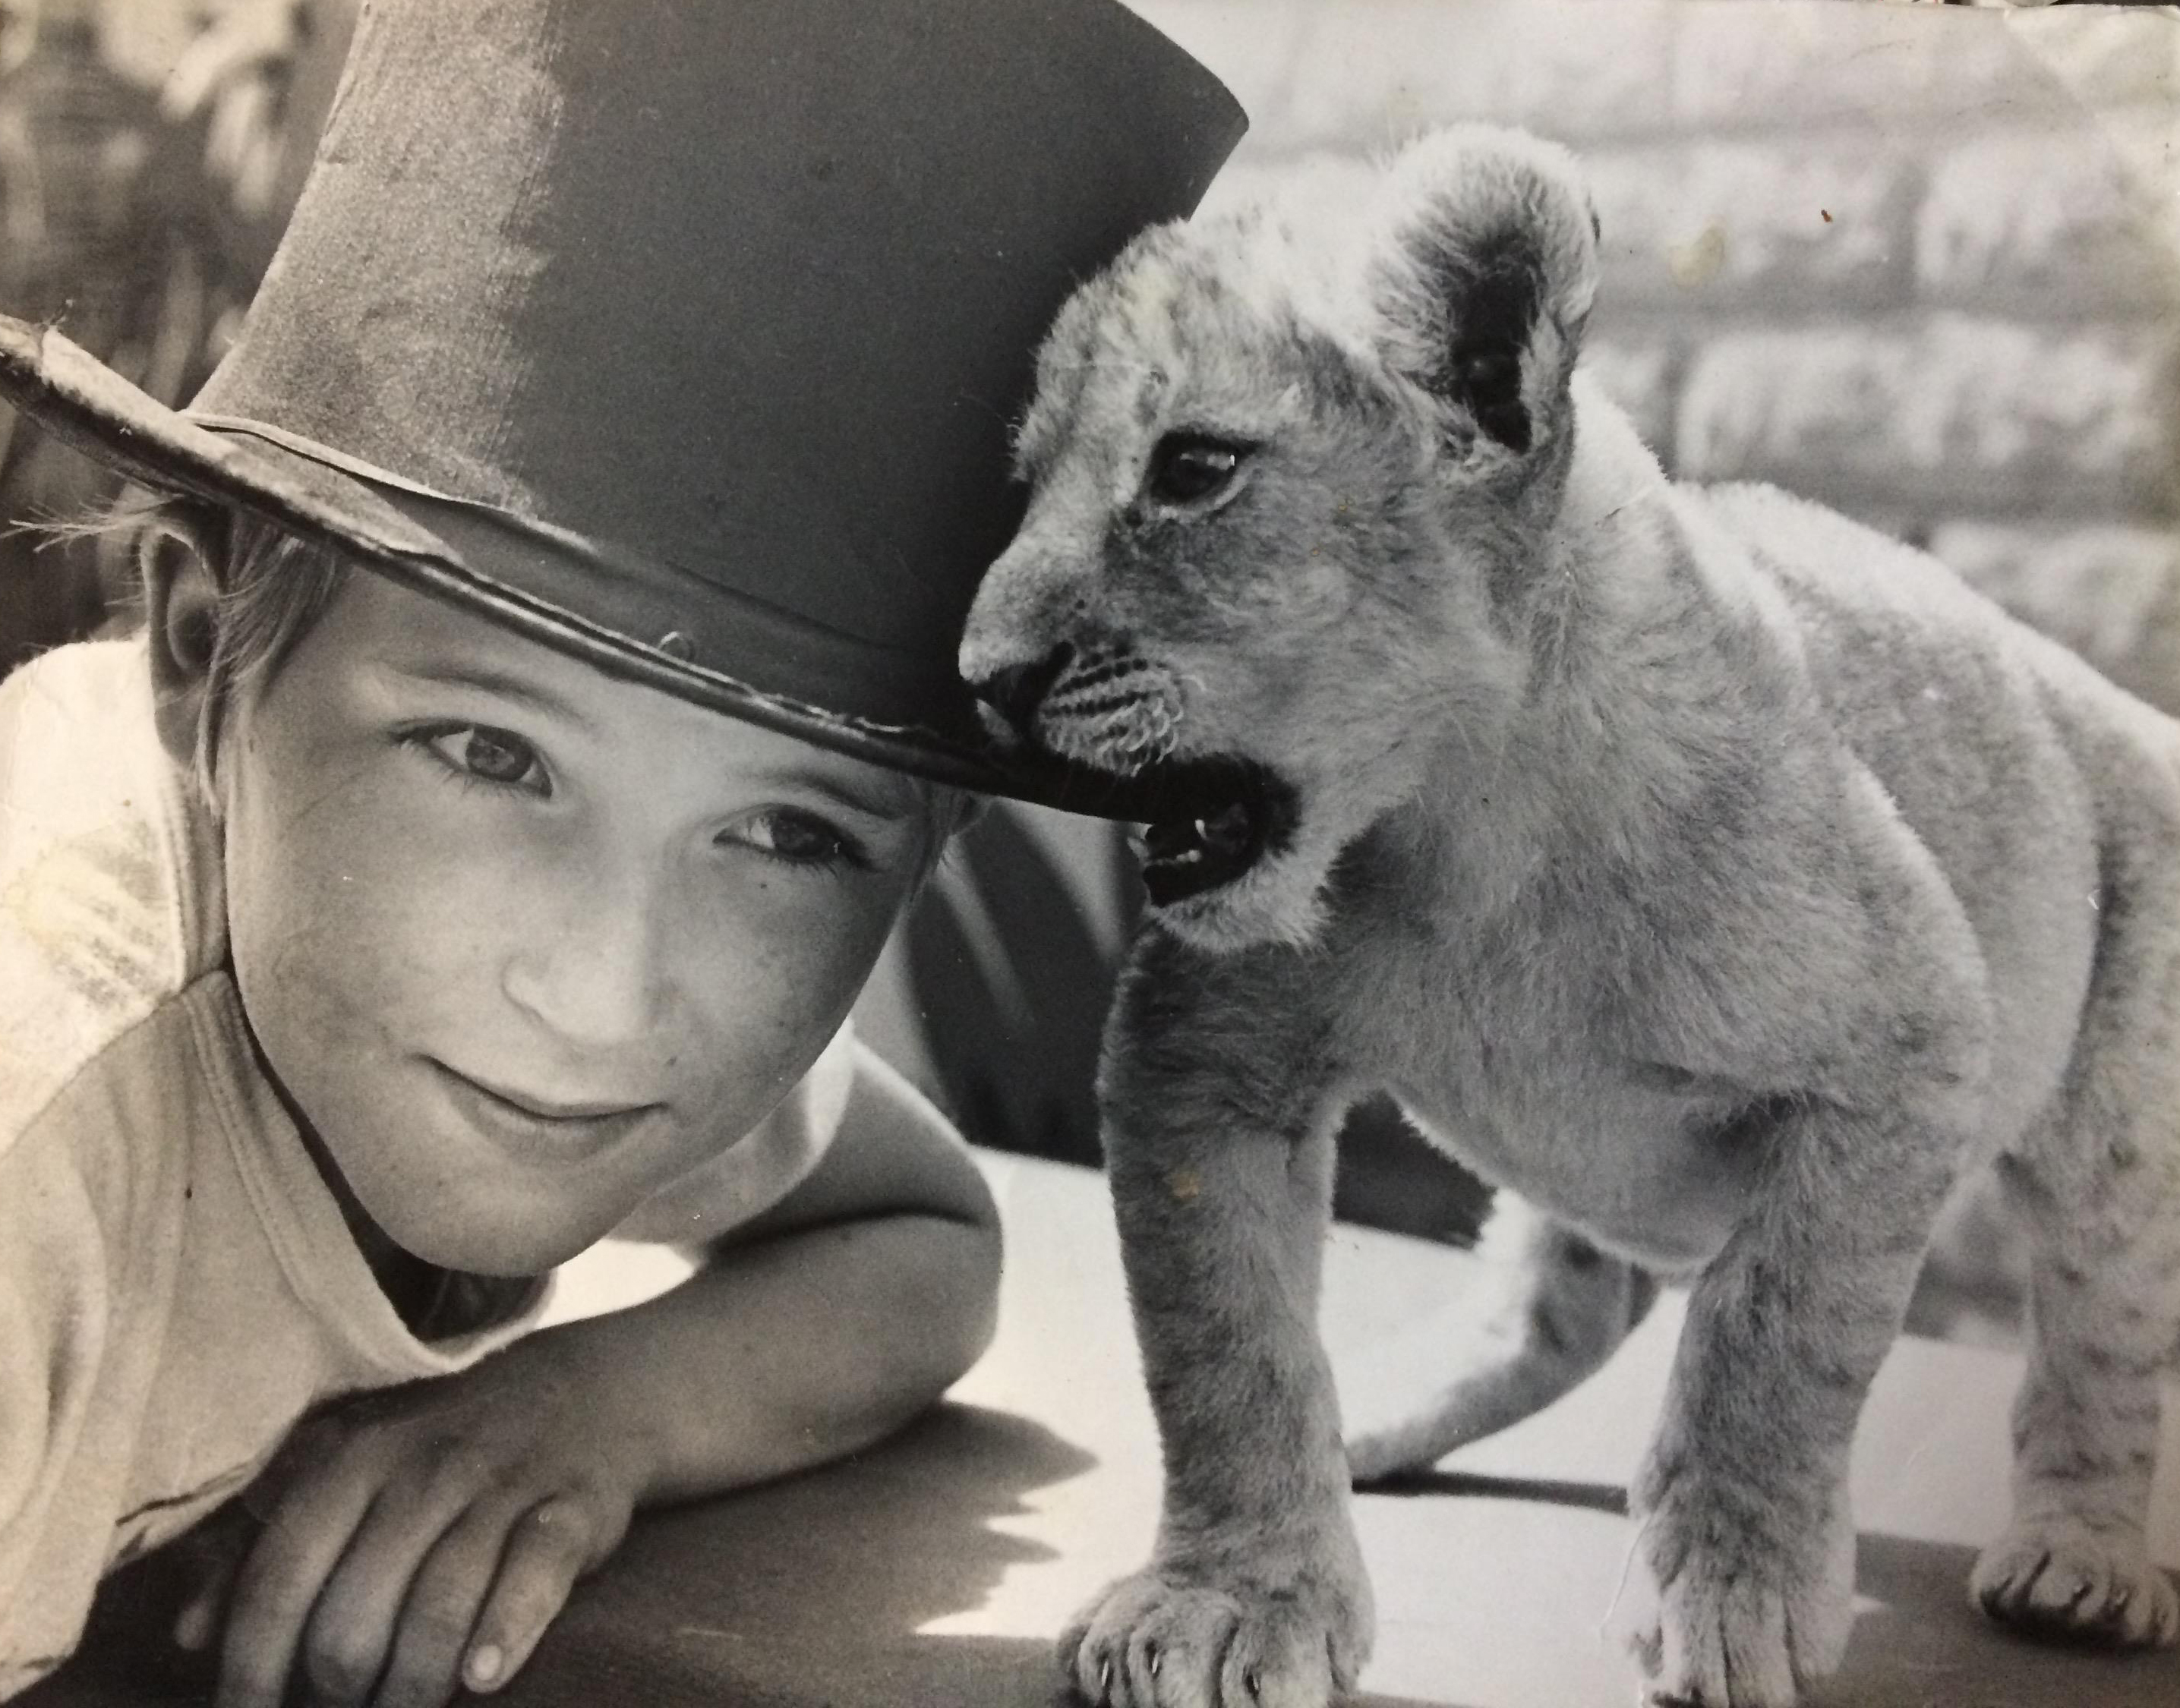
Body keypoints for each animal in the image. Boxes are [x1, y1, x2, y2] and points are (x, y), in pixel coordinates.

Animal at [956, 125, 2180, 1708]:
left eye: (1194, 469)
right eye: (1028, 481)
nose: (981, 678)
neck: (1461, 830)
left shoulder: (1908, 1042)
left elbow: (1773, 1346)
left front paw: (1732, 1595)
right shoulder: (1197, 1061)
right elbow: (1225, 1350)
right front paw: (1228, 1601)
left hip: (2122, 1099)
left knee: (2102, 1322)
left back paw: (2080, 1563)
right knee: (1560, 1307)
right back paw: (1380, 1413)